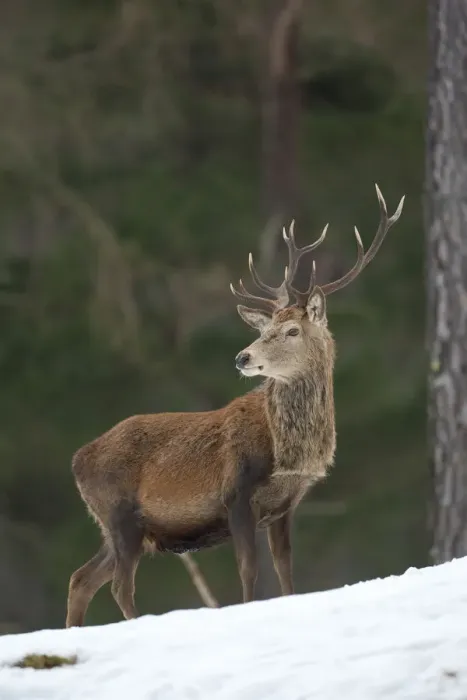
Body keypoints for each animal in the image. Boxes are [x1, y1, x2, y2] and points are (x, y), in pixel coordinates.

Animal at [65, 185, 404, 628]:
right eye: (265, 328)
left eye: (292, 330)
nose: (243, 357)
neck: (288, 455)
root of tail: (78, 460)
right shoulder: (237, 494)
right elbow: (249, 569)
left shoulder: (284, 506)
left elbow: (285, 569)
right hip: (119, 513)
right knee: (119, 586)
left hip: (119, 527)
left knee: (81, 578)